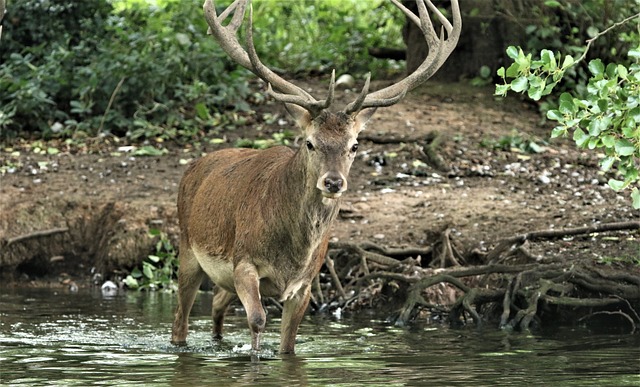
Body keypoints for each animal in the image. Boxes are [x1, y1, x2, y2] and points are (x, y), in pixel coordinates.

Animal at [170, 0, 460, 354]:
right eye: (310, 142)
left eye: (355, 145)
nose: (333, 182)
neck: (291, 255)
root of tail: (193, 166)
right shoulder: (244, 262)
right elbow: (257, 320)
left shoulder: (305, 283)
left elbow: (289, 344)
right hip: (187, 248)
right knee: (180, 320)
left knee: (216, 305)